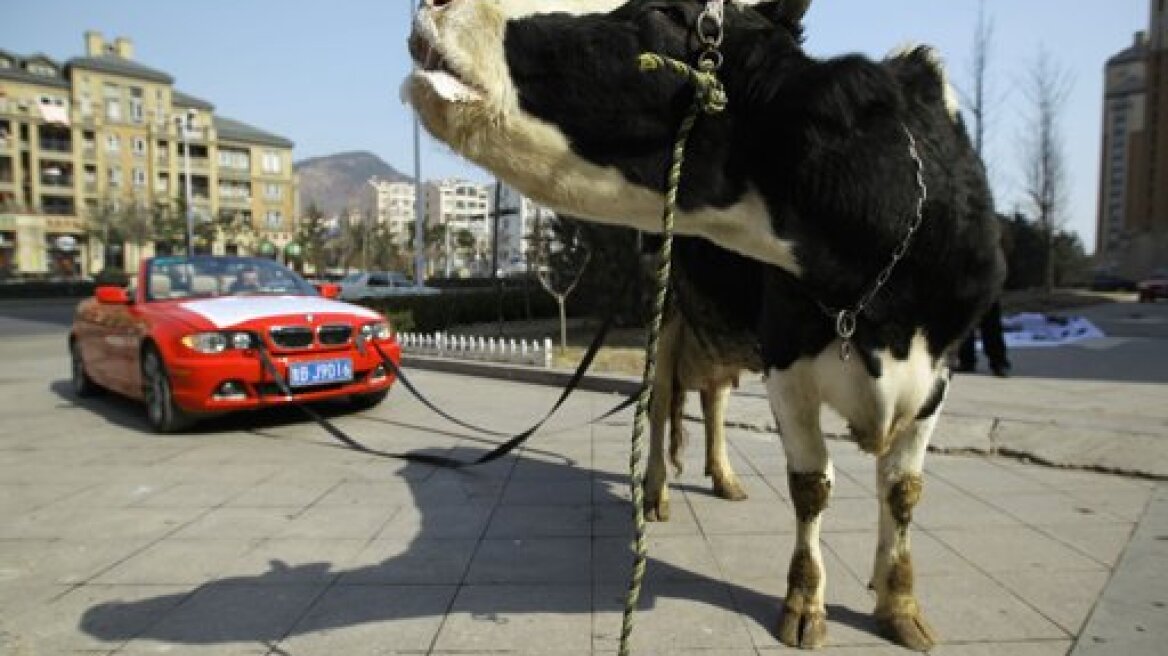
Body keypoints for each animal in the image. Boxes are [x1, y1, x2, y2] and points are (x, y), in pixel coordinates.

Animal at [404, 0, 1004, 644]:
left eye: (663, 13)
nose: (437, 3)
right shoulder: (787, 363)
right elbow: (811, 485)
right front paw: (804, 604)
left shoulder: (938, 371)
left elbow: (903, 491)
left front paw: (900, 606)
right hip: (665, 317)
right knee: (660, 406)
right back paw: (655, 492)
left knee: (713, 403)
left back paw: (723, 475)